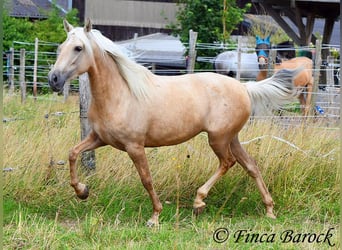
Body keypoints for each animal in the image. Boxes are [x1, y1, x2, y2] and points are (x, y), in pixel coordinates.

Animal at [48, 19, 302, 227]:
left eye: (78, 48)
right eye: (61, 48)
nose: (54, 79)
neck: (122, 94)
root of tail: (244, 87)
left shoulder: (134, 146)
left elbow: (146, 179)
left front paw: (155, 217)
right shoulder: (99, 139)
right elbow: (72, 153)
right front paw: (82, 192)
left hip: (218, 139)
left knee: (227, 163)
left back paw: (199, 202)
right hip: (231, 138)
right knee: (251, 166)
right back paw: (269, 210)